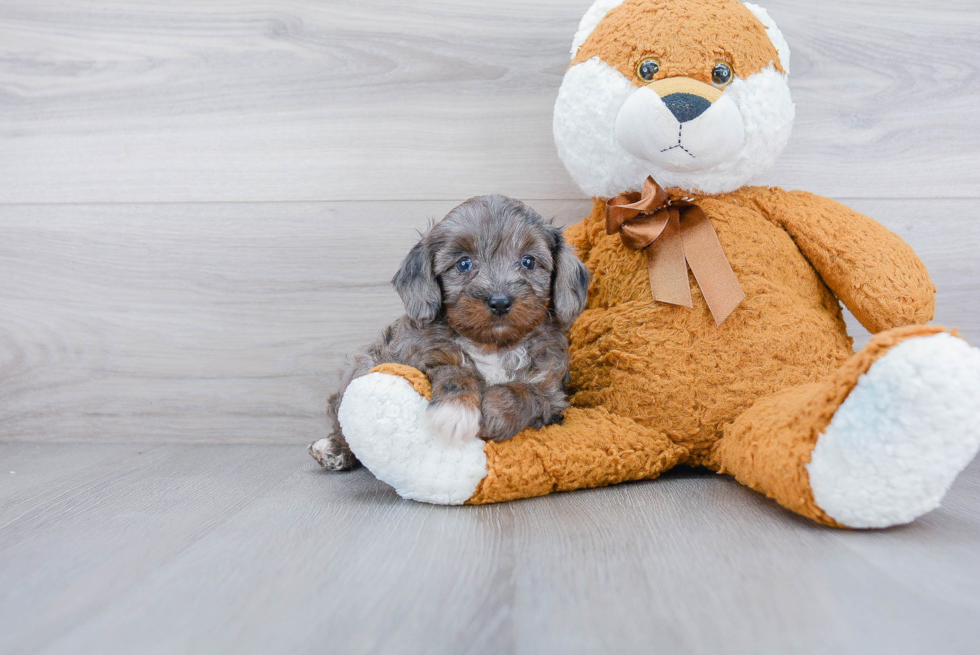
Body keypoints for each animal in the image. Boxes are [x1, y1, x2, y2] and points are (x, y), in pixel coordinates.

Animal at [312, 193, 588, 472]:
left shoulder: (552, 392)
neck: (493, 345)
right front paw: (456, 411)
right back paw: (334, 448)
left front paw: (495, 412)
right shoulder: (421, 355)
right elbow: (454, 369)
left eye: (528, 261)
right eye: (464, 264)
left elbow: (525, 392)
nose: (500, 301)